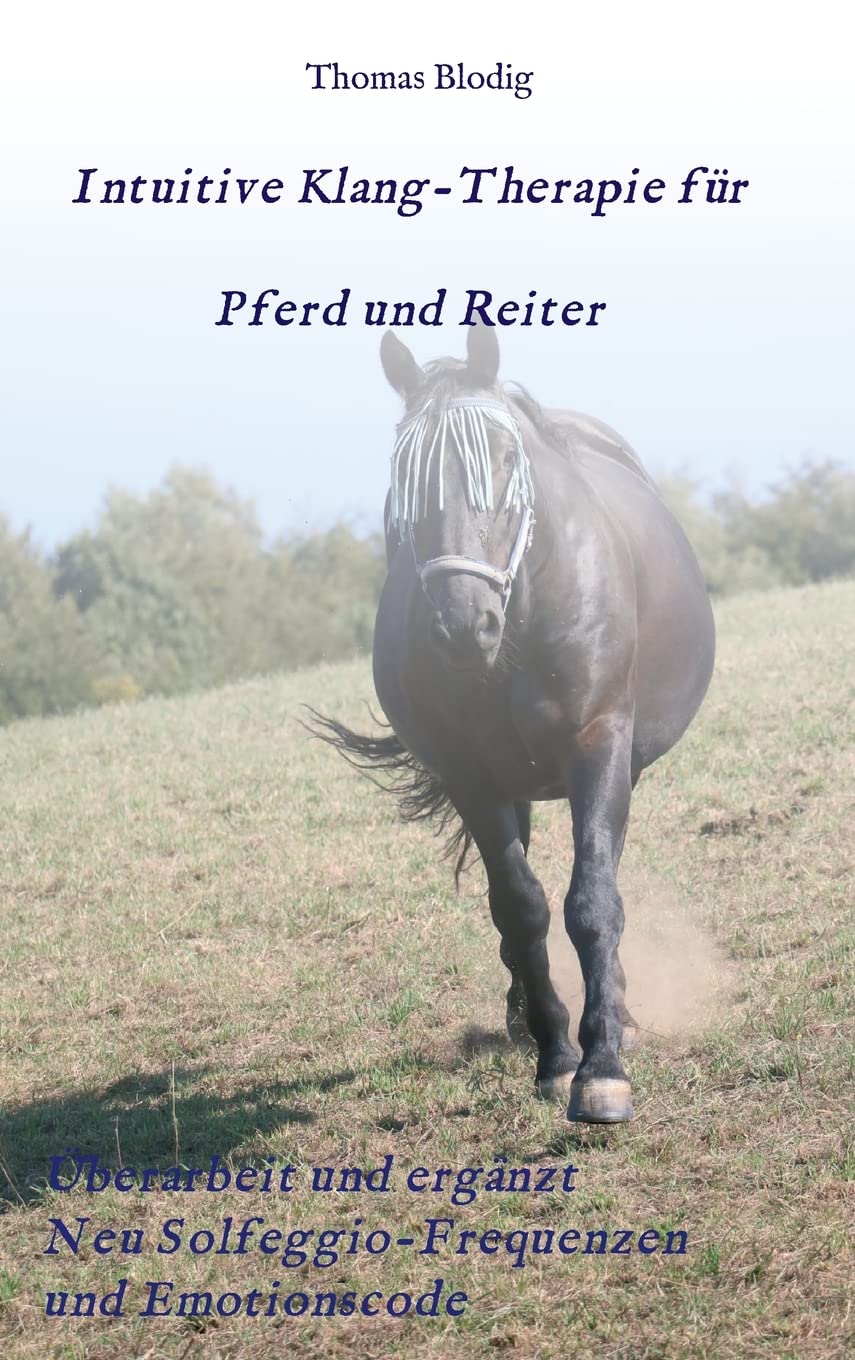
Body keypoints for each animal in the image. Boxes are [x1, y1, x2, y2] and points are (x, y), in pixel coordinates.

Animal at [313, 325, 715, 1123]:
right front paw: (556, 1053)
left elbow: (591, 900)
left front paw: (602, 1066)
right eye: (405, 479)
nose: (460, 624)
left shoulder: (599, 745)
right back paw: (524, 1015)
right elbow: (520, 907)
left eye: (503, 459)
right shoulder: (471, 777)